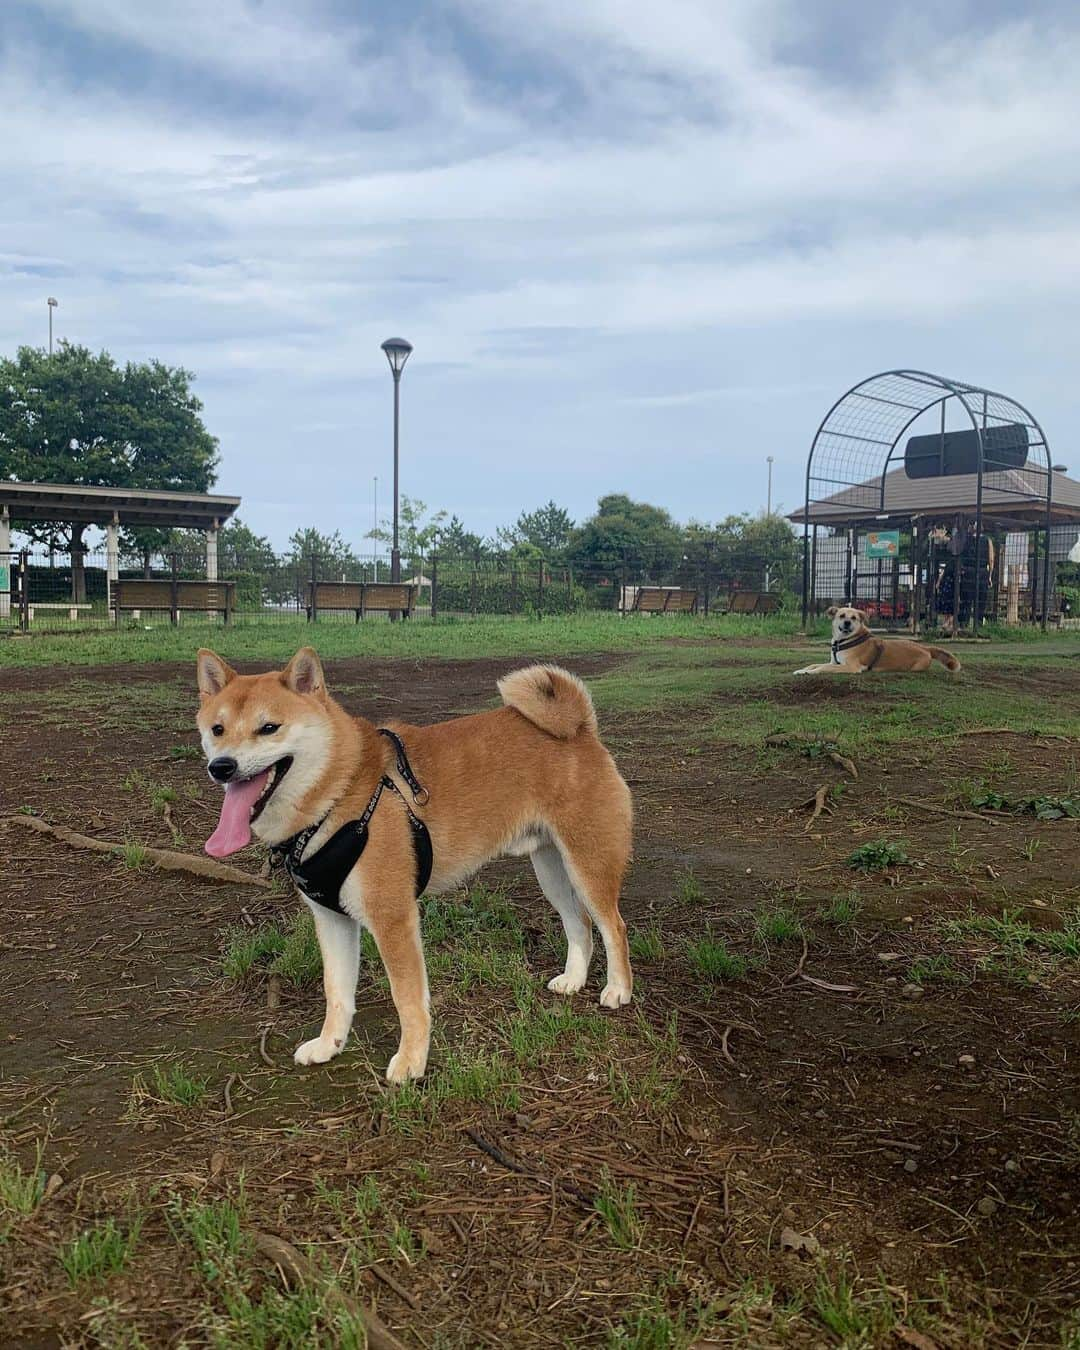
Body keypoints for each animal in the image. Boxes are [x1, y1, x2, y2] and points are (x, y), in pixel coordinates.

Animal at [195, 648, 631, 1080]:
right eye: (218, 730)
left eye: (269, 727)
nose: (222, 766)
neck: (338, 793)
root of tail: (580, 730)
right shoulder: (332, 918)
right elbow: (337, 992)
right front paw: (329, 1045)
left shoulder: (392, 917)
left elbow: (406, 999)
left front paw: (410, 1062)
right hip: (552, 870)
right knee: (580, 924)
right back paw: (573, 980)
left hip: (587, 864)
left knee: (613, 926)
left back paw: (618, 989)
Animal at [793, 610, 961, 680]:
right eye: (841, 615)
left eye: (854, 618)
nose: (847, 622)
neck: (845, 640)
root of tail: (924, 647)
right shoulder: (834, 662)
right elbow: (814, 664)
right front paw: (802, 670)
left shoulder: (851, 667)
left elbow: (822, 668)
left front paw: (809, 672)